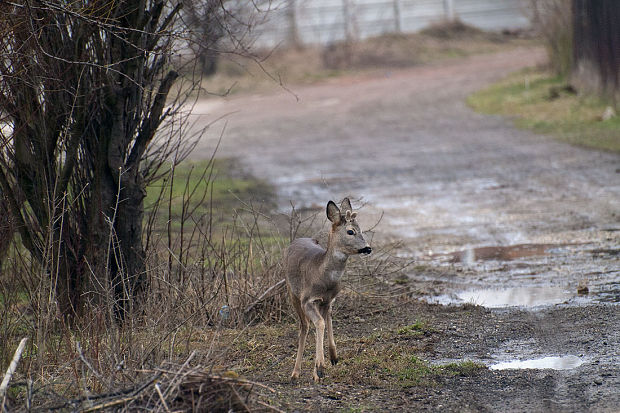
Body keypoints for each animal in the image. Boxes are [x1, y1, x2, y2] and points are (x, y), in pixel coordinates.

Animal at [284, 198, 370, 382]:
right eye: (350, 231)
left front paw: (332, 358)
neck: (323, 277)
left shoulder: (329, 300)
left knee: (316, 322)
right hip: (292, 292)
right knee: (304, 326)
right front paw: (320, 366)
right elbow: (320, 323)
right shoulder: (308, 300)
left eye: (361, 229)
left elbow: (328, 321)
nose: (368, 248)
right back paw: (295, 373)